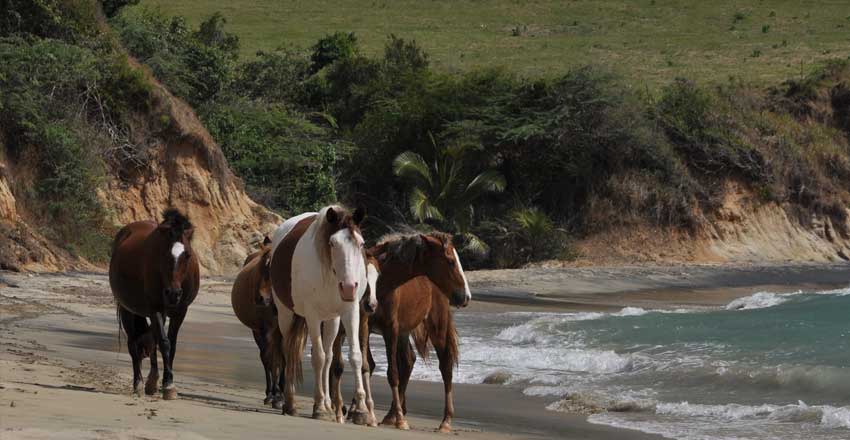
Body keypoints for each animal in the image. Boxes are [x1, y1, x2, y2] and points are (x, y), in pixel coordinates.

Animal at [109, 209, 199, 398]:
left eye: (187, 255)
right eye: (163, 254)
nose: (173, 294)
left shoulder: (180, 311)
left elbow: (170, 344)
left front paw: (166, 382)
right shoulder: (156, 308)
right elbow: (164, 343)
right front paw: (168, 385)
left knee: (151, 339)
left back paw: (152, 381)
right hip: (128, 310)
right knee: (133, 344)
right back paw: (138, 383)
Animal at [230, 237, 286, 410]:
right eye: (261, 269)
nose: (260, 298)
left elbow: (283, 359)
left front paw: (282, 396)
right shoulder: (266, 330)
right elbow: (271, 360)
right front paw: (275, 395)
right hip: (257, 332)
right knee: (265, 358)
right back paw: (269, 393)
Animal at [266, 206, 370, 422]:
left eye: (361, 243)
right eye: (332, 243)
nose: (349, 288)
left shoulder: (350, 311)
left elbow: (354, 356)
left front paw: (361, 409)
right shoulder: (312, 315)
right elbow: (318, 358)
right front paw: (319, 407)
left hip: (332, 319)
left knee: (329, 356)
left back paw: (330, 405)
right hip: (286, 314)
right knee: (289, 351)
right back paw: (290, 403)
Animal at [328, 235, 468, 432]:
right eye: (450, 261)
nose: (465, 296)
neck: (384, 284)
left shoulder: (390, 328)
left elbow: (391, 372)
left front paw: (396, 418)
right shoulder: (364, 325)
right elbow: (361, 364)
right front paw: (353, 409)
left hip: (436, 326)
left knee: (445, 365)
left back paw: (443, 421)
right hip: (404, 331)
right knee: (409, 360)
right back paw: (391, 413)